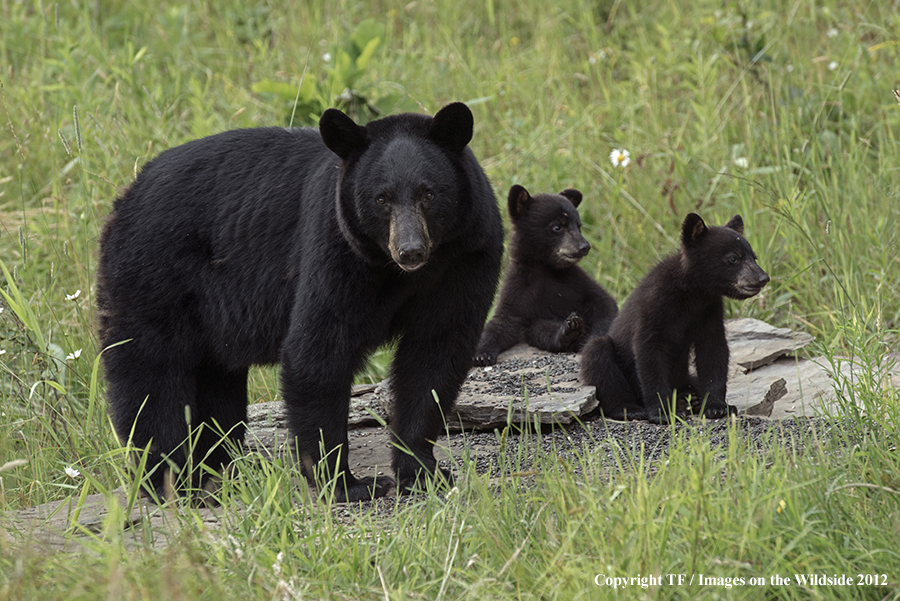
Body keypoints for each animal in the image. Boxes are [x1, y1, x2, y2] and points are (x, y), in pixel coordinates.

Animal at [100, 102, 506, 502]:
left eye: (428, 193)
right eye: (382, 198)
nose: (410, 250)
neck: (401, 273)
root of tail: (126, 193)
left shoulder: (467, 257)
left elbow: (435, 354)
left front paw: (422, 470)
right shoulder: (336, 250)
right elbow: (319, 352)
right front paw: (348, 483)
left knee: (217, 386)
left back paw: (216, 470)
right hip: (153, 274)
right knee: (151, 373)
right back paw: (170, 480)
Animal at [474, 184, 616, 366]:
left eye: (579, 226)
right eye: (557, 227)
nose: (584, 247)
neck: (546, 268)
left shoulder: (576, 281)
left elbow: (603, 302)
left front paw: (593, 338)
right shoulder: (519, 288)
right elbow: (502, 322)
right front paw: (481, 354)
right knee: (540, 329)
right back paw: (569, 330)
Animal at [584, 213, 768, 424]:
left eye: (754, 257)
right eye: (733, 258)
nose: (763, 278)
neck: (692, 292)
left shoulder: (709, 310)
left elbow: (713, 350)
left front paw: (717, 406)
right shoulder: (655, 306)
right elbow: (649, 351)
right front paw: (663, 412)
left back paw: (690, 399)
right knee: (599, 356)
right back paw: (630, 409)